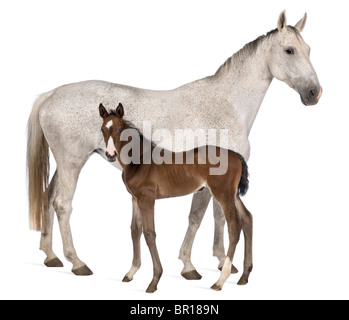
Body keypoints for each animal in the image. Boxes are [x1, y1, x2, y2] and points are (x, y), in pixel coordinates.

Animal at [98, 103, 253, 292]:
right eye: (102, 129)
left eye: (120, 129)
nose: (110, 154)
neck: (140, 161)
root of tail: (236, 155)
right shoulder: (135, 198)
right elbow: (135, 230)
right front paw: (131, 272)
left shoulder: (147, 199)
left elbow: (149, 233)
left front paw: (154, 280)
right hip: (233, 194)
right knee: (247, 218)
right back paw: (244, 276)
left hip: (223, 194)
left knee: (234, 227)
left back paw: (220, 280)